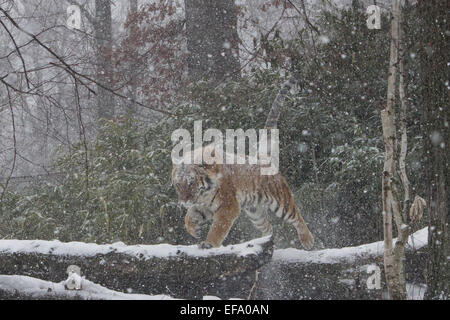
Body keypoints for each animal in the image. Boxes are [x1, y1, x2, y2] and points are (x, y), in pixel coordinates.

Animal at [171, 75, 314, 250]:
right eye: (179, 185)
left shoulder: (228, 206)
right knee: (268, 227)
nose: (184, 201)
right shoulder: (204, 205)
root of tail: (262, 157)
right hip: (255, 212)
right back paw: (266, 242)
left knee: (296, 216)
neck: (204, 193)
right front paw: (194, 230)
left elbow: (217, 228)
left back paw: (308, 240)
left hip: (281, 201)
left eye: (191, 182)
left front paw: (209, 244)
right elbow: (189, 216)